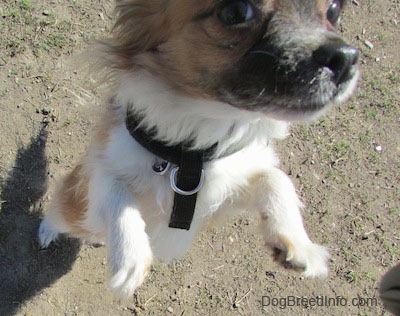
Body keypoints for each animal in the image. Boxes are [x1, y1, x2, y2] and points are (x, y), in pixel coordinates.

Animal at [39, 0, 360, 298]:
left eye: (334, 10)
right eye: (236, 12)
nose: (345, 58)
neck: (190, 153)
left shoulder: (226, 187)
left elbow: (276, 179)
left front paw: (299, 245)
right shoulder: (103, 162)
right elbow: (116, 194)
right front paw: (131, 258)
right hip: (74, 211)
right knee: (59, 213)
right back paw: (48, 230)